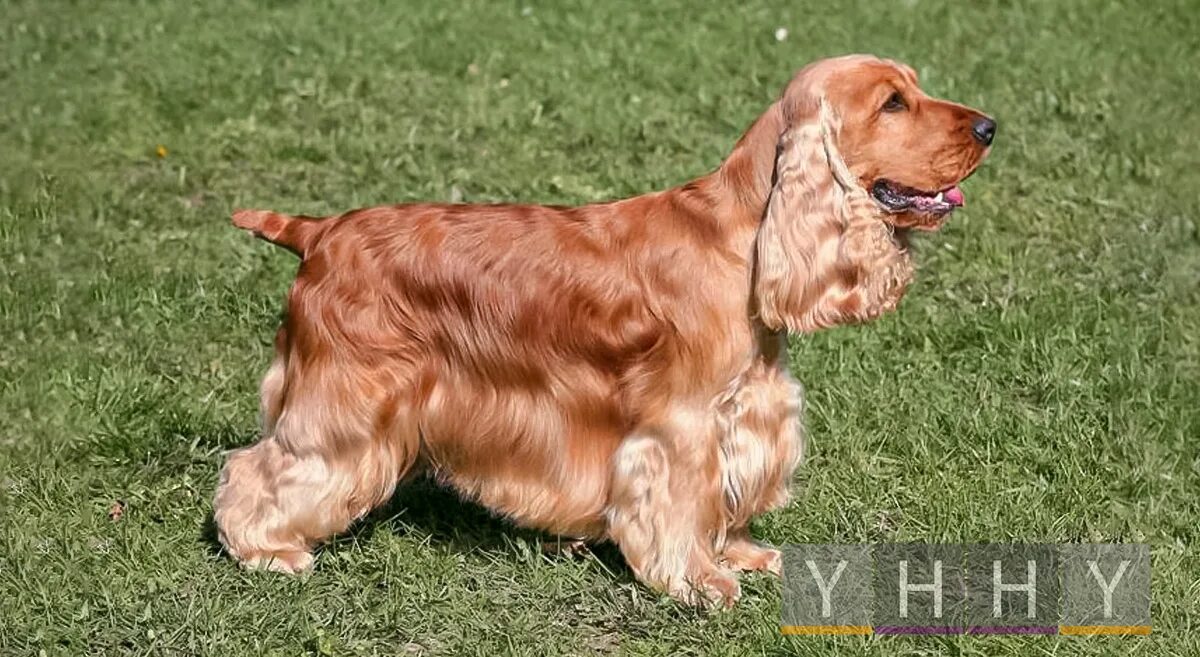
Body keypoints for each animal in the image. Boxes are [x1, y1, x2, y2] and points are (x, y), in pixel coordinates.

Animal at [213, 53, 993, 609]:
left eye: (914, 88)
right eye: (893, 102)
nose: (988, 126)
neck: (743, 236)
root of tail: (318, 232)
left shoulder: (746, 410)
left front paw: (741, 553)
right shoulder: (679, 425)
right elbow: (678, 504)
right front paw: (700, 582)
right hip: (346, 399)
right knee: (260, 467)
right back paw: (265, 551)